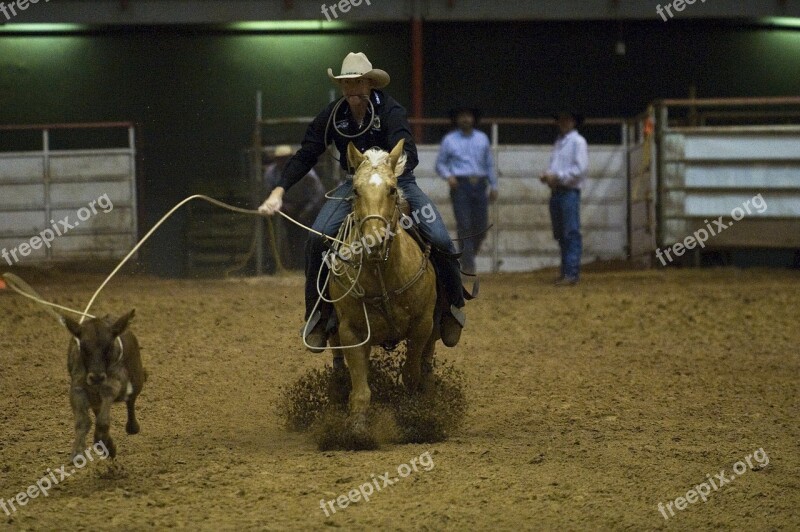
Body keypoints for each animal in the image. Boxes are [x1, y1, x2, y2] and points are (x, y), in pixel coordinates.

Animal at [63, 310, 146, 460]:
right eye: (84, 348)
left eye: (108, 347)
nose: (96, 377)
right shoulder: (77, 389)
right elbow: (83, 421)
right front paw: (78, 451)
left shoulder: (115, 383)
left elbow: (103, 416)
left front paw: (101, 439)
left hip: (137, 379)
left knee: (131, 401)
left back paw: (132, 427)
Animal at [324, 139, 438, 434]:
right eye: (355, 190)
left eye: (392, 189)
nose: (374, 242)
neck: (382, 274)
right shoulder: (351, 332)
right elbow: (361, 391)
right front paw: (356, 430)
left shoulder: (422, 325)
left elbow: (411, 376)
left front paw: (415, 418)